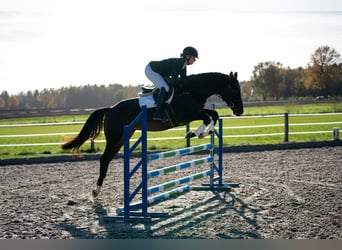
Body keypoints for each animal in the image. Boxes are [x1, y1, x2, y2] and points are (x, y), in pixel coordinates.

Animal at [61, 70, 243, 197]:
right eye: (234, 88)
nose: (240, 111)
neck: (192, 91)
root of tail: (110, 109)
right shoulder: (186, 116)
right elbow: (207, 117)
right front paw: (194, 134)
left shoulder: (197, 112)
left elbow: (214, 115)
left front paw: (206, 132)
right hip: (114, 137)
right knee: (104, 159)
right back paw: (96, 191)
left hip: (122, 138)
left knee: (107, 159)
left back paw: (97, 190)